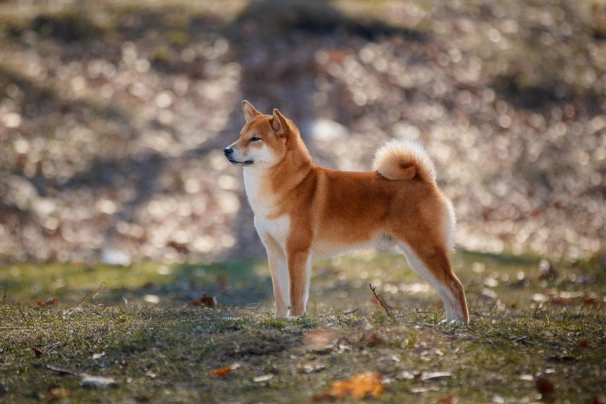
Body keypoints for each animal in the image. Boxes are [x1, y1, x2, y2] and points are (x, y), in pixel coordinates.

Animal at [224, 102, 470, 326]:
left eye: (255, 139)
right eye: (240, 136)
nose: (227, 150)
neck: (290, 186)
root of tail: (424, 180)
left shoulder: (297, 252)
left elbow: (296, 294)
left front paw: (295, 320)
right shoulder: (275, 253)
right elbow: (280, 295)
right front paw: (279, 320)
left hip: (425, 252)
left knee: (455, 286)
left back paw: (462, 324)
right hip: (416, 257)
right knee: (445, 290)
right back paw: (449, 323)